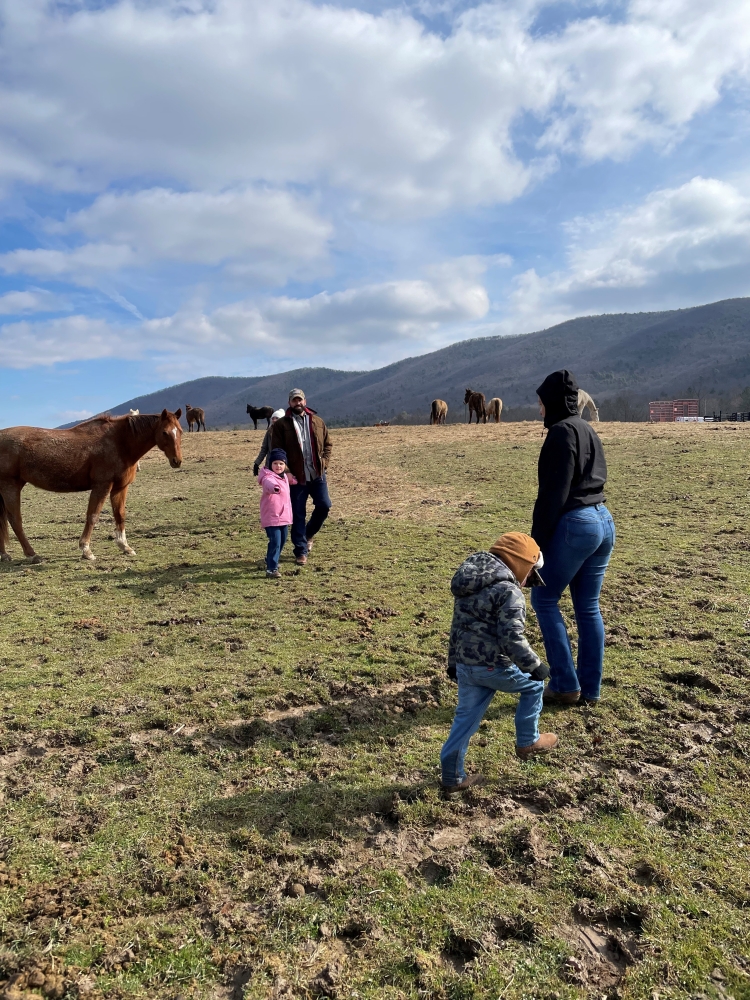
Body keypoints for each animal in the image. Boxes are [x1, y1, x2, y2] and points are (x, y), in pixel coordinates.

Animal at [0, 406, 182, 564]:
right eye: (165, 432)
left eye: (179, 431)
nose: (177, 461)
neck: (119, 442)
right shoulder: (102, 486)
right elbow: (93, 516)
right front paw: (86, 550)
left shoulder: (120, 488)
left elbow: (120, 514)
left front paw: (125, 546)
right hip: (10, 486)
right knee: (15, 519)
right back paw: (32, 554)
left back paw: (4, 554)